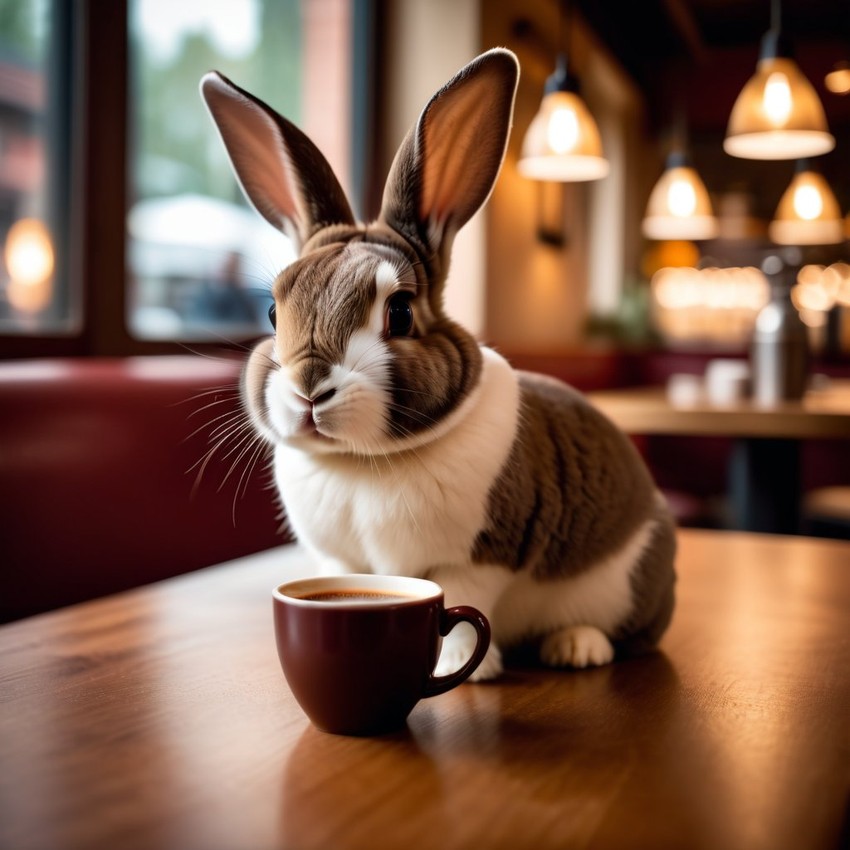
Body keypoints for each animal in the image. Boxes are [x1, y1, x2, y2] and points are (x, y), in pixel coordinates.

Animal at [200, 48, 676, 684]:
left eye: (400, 312)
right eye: (275, 310)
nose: (309, 390)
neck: (361, 464)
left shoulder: (474, 559)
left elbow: (460, 603)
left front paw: (470, 670)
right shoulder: (339, 558)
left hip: (628, 585)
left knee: (627, 637)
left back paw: (577, 647)